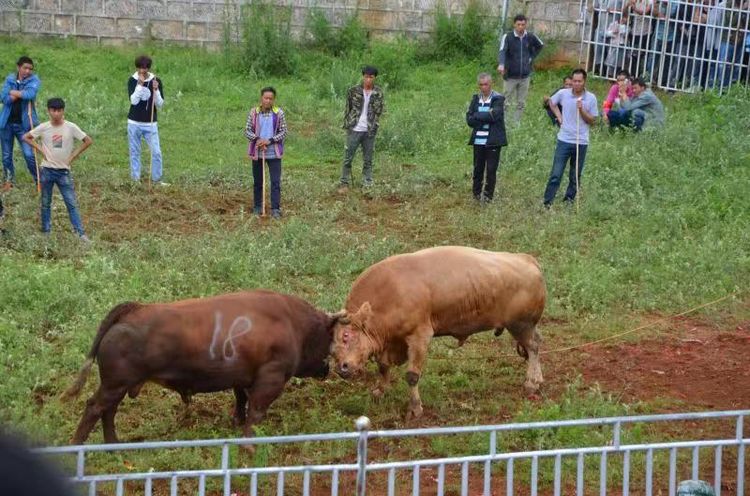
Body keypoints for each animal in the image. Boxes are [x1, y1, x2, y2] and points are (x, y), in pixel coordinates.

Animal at [64, 290, 340, 446]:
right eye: (331, 337)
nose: (329, 368)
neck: (292, 322)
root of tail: (134, 309)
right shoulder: (271, 377)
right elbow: (256, 410)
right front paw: (249, 444)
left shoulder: (242, 377)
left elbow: (241, 399)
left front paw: (237, 422)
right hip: (115, 384)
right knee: (95, 408)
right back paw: (78, 446)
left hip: (118, 385)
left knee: (108, 411)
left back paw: (113, 445)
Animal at [328, 246, 548, 416]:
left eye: (346, 335)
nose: (341, 368)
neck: (388, 294)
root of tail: (526, 259)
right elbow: (383, 367)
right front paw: (380, 391)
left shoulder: (419, 337)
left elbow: (412, 375)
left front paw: (415, 407)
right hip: (525, 326)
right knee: (536, 343)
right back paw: (538, 379)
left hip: (520, 324)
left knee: (533, 347)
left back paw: (531, 382)